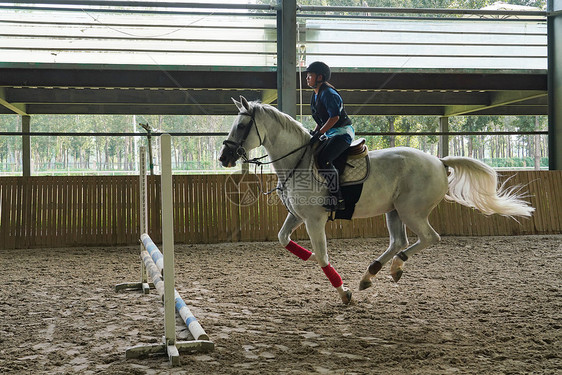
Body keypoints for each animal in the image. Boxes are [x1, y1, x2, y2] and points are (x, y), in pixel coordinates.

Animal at [217, 97, 532, 306]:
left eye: (242, 125)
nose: (224, 157)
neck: (299, 161)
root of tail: (440, 161)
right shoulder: (297, 216)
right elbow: (284, 238)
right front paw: (309, 257)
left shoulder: (314, 220)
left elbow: (323, 256)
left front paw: (343, 293)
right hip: (393, 211)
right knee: (398, 241)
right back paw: (371, 274)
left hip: (411, 211)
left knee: (429, 238)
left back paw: (394, 268)